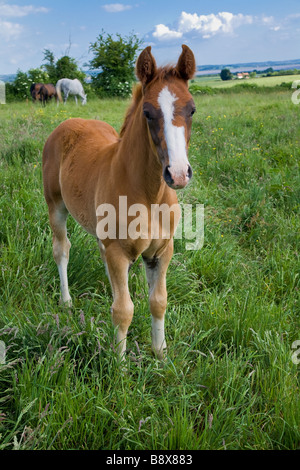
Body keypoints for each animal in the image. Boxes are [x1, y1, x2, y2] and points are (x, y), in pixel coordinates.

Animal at [42, 45, 197, 360]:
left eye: (192, 109)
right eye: (148, 112)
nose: (177, 173)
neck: (150, 197)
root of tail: (68, 121)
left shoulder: (161, 251)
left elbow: (158, 301)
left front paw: (160, 354)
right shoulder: (119, 251)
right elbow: (123, 310)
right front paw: (119, 363)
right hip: (56, 206)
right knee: (61, 250)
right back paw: (66, 302)